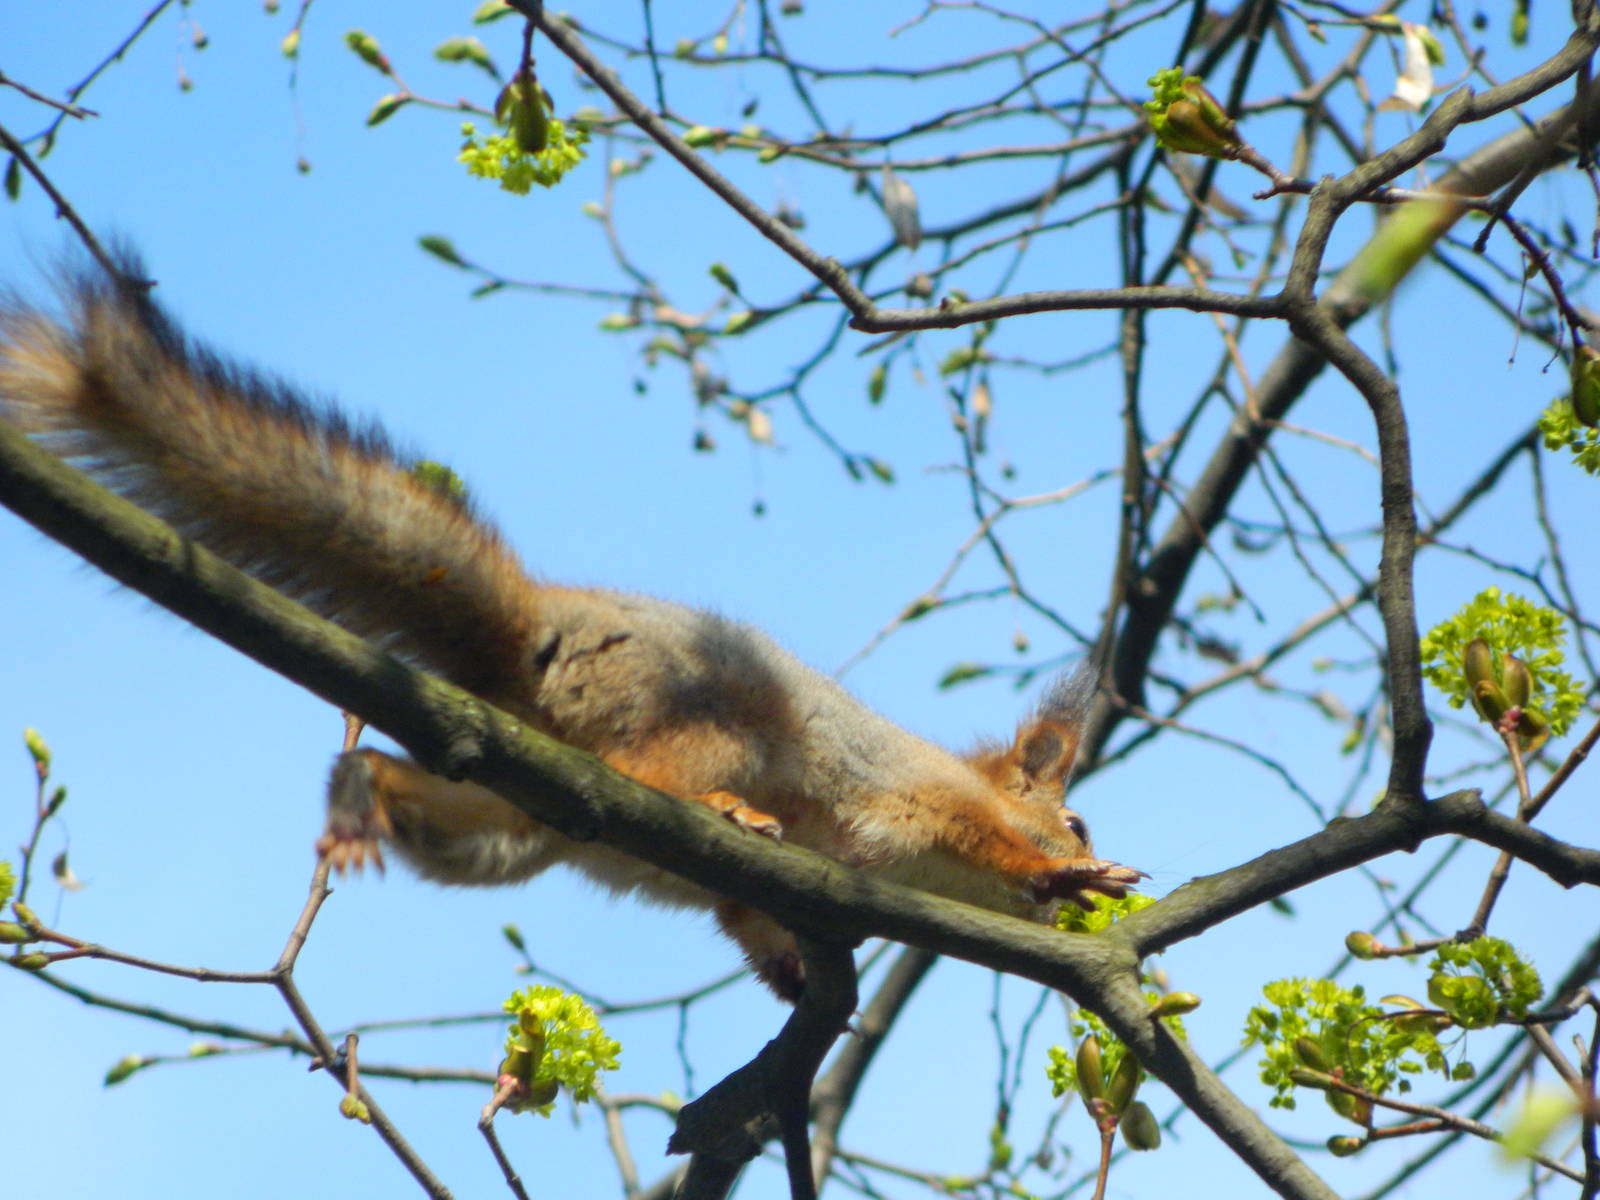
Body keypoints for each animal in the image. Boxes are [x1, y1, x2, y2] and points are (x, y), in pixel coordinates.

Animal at [0, 261, 1143, 999]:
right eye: (1078, 817)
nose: (1086, 862)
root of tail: (539, 637)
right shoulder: (912, 800)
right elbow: (979, 835)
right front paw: (1064, 875)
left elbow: (747, 922)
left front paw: (792, 977)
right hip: (705, 723)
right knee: (648, 775)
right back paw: (726, 810)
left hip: (503, 827)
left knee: (442, 809)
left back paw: (358, 796)